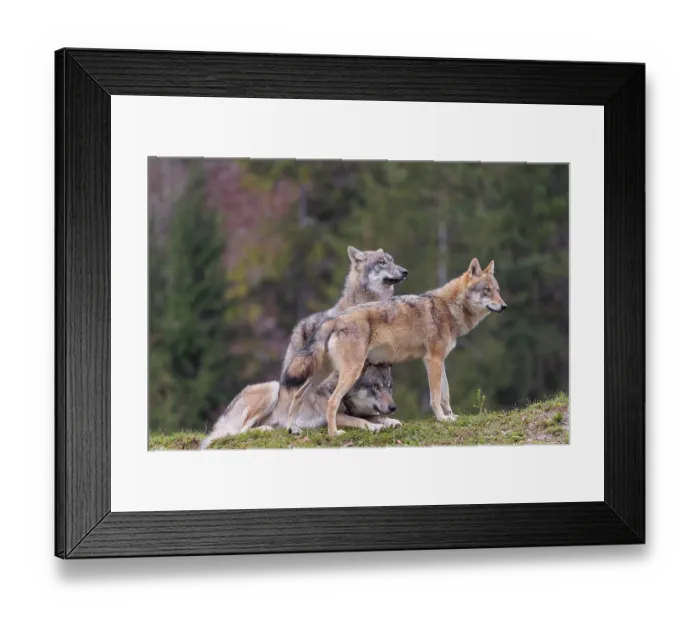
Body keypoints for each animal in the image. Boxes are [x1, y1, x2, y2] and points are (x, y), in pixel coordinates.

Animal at [199, 363, 398, 449]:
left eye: (389, 387)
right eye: (376, 387)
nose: (393, 407)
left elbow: (375, 415)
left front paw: (392, 421)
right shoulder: (339, 417)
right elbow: (361, 421)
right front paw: (374, 427)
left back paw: (290, 429)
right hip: (272, 387)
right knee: (239, 431)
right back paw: (267, 429)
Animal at [283, 258, 507, 437]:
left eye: (497, 290)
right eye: (487, 290)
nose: (504, 306)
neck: (448, 309)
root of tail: (334, 319)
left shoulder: (440, 360)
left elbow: (446, 394)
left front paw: (451, 416)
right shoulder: (432, 360)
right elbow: (435, 397)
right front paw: (442, 419)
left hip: (320, 375)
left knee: (297, 395)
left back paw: (292, 428)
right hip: (350, 372)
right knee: (331, 401)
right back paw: (334, 433)